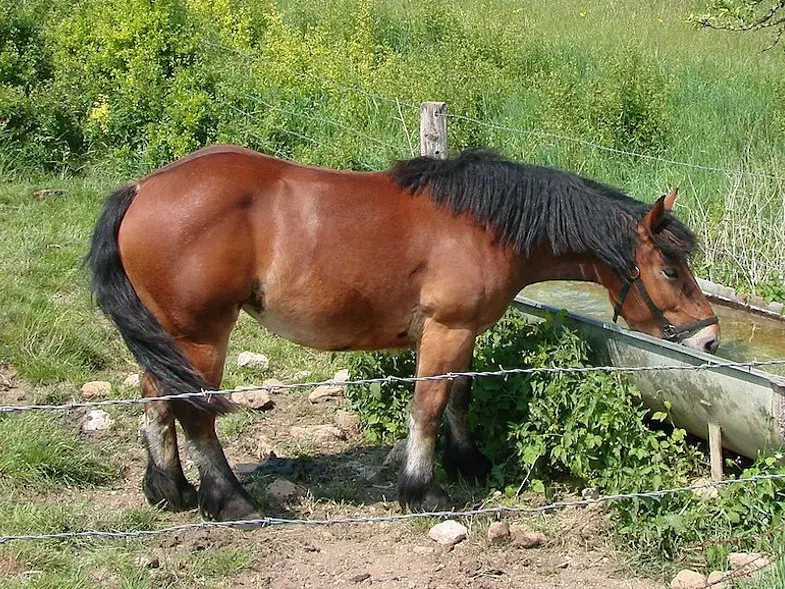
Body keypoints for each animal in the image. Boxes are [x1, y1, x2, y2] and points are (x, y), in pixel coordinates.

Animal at [89, 146, 720, 520]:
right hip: (200, 337)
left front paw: (469, 461)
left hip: (168, 339)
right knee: (193, 413)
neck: (482, 224)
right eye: (670, 269)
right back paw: (231, 501)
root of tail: (141, 189)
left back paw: (170, 489)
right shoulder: (447, 329)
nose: (710, 339)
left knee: (155, 402)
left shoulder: (462, 333)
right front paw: (424, 490)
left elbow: (460, 395)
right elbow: (429, 406)